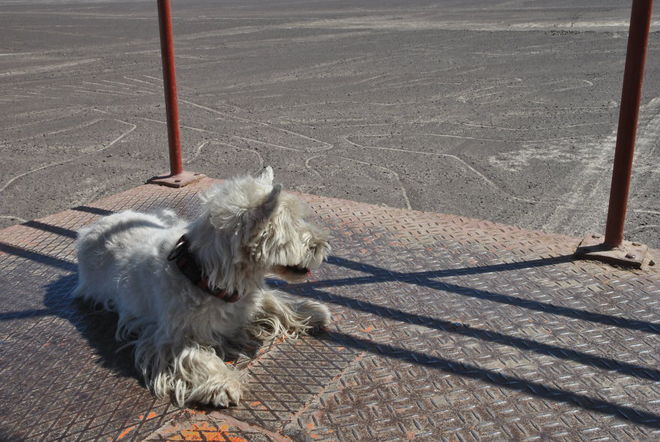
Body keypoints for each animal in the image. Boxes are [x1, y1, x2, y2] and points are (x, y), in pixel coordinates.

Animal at [73, 168, 330, 408]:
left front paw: (313, 311)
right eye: (292, 225)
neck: (205, 276)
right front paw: (224, 384)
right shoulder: (171, 338)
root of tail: (93, 227)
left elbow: (275, 301)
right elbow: (197, 356)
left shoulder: (248, 299)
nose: (324, 245)